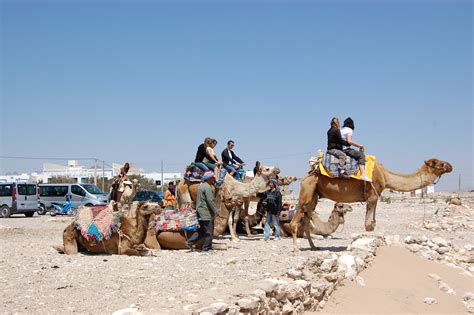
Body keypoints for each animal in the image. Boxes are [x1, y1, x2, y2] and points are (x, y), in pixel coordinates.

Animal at [290, 158, 454, 252]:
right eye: (440, 163)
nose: (451, 166)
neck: (386, 176)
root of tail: (305, 176)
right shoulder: (372, 196)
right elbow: (369, 225)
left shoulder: (375, 197)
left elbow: (371, 224)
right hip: (307, 191)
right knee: (295, 221)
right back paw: (296, 248)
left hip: (314, 195)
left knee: (306, 220)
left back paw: (313, 247)